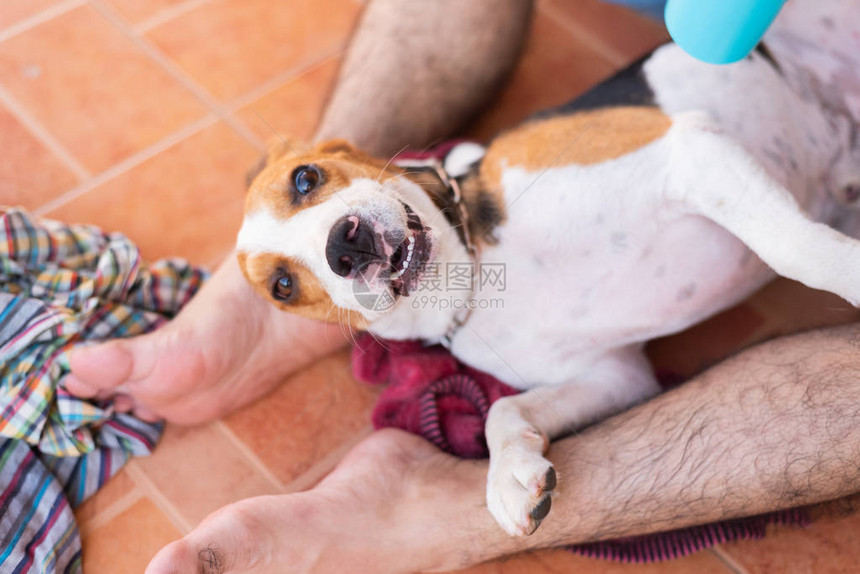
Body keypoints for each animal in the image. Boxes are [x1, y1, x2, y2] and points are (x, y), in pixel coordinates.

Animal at [239, 0, 860, 536]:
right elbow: (501, 409)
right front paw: (510, 478)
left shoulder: (687, 149)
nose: (345, 246)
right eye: (283, 286)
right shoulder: (615, 373)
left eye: (305, 178)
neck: (471, 277)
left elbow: (796, 250)